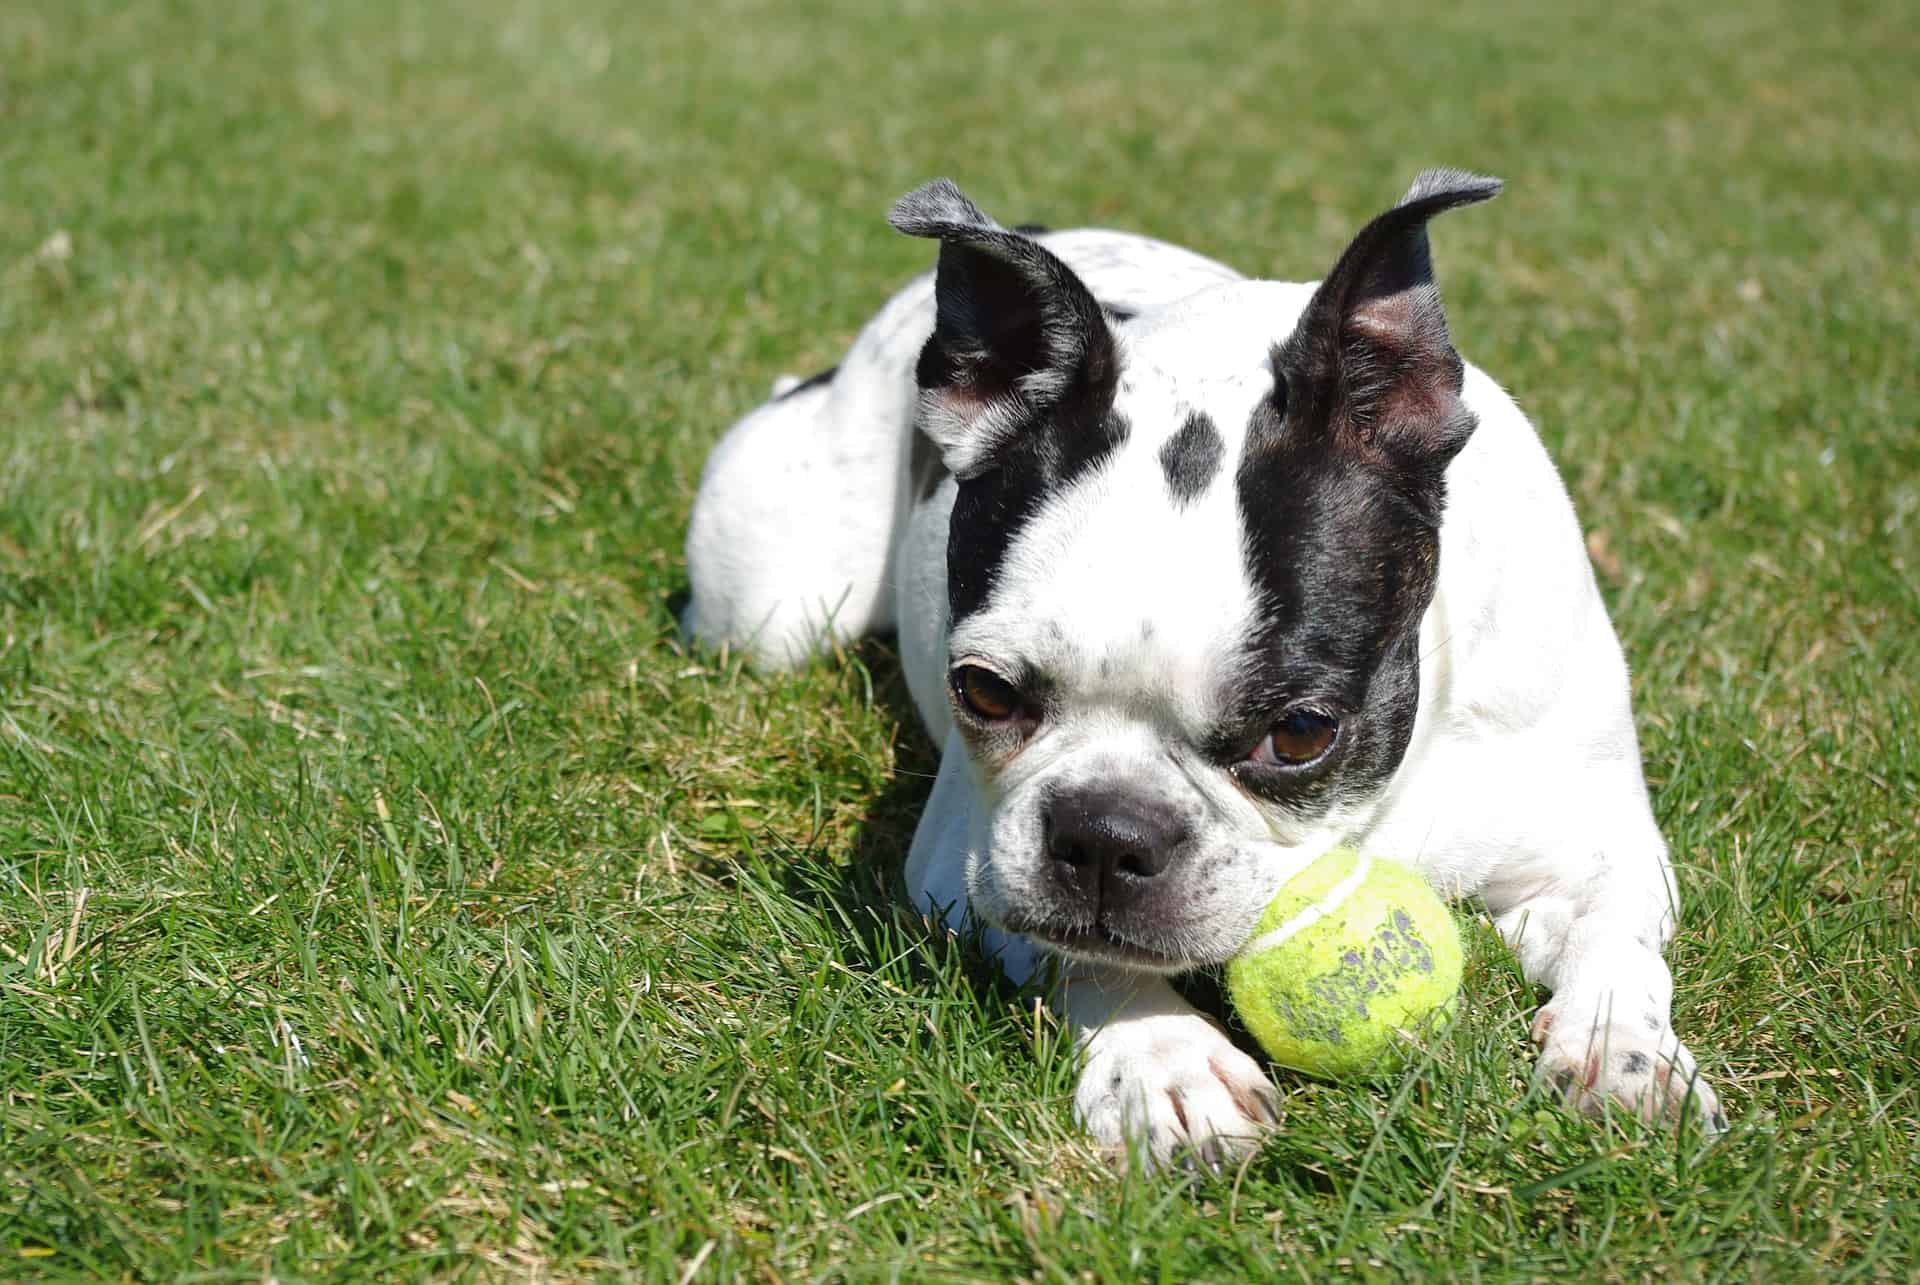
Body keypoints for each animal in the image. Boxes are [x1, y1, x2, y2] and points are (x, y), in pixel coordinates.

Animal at [679, 172, 1728, 1175]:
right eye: (982, 690)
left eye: (1301, 732)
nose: (1105, 834)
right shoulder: (964, 865)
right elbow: (1087, 955)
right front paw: (1165, 1060)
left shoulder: (1602, 846)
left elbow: (1616, 939)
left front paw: (1622, 1053)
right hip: (775, 607)